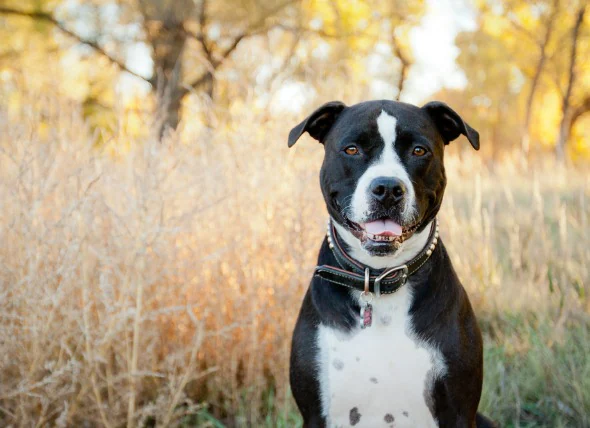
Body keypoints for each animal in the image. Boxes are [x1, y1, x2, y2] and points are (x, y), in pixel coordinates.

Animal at [286, 101, 494, 428]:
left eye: (419, 151)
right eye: (352, 149)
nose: (387, 188)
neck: (378, 278)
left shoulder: (460, 410)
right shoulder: (316, 413)